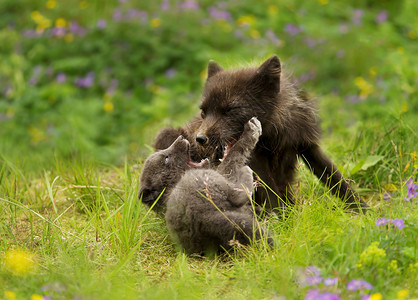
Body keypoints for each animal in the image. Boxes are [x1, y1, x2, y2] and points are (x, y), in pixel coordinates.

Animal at [139, 118, 272, 254]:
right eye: (166, 159)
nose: (181, 137)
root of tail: (204, 217)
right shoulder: (223, 174)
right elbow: (233, 157)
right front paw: (252, 130)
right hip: (212, 180)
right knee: (238, 194)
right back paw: (247, 172)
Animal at [154, 55, 370, 212]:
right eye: (203, 112)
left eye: (230, 109)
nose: (200, 139)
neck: (274, 136)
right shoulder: (257, 160)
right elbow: (272, 193)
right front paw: (286, 223)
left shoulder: (307, 146)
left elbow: (338, 180)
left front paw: (364, 212)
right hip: (166, 134)